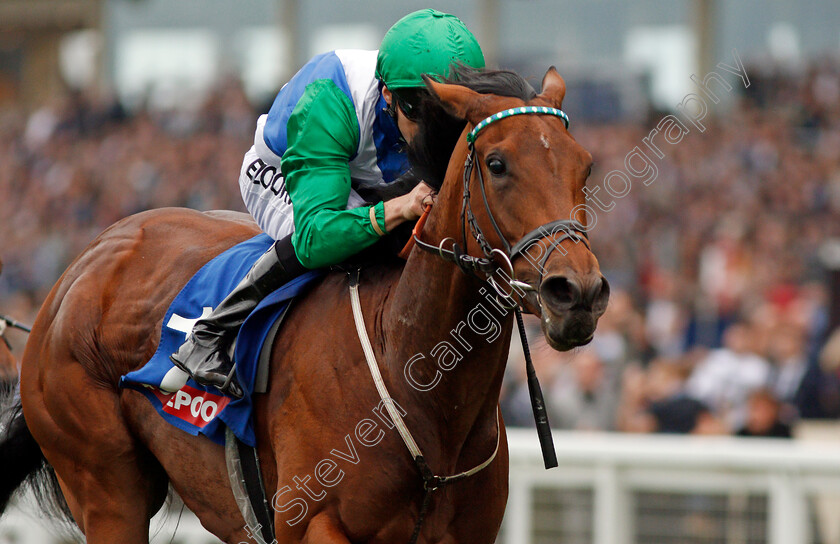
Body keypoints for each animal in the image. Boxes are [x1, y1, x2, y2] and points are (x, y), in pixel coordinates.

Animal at [0, 69, 608, 544]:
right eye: (498, 164)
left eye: (585, 166)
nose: (576, 292)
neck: (412, 373)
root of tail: (84, 264)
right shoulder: (312, 523)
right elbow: (313, 232)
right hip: (107, 484)